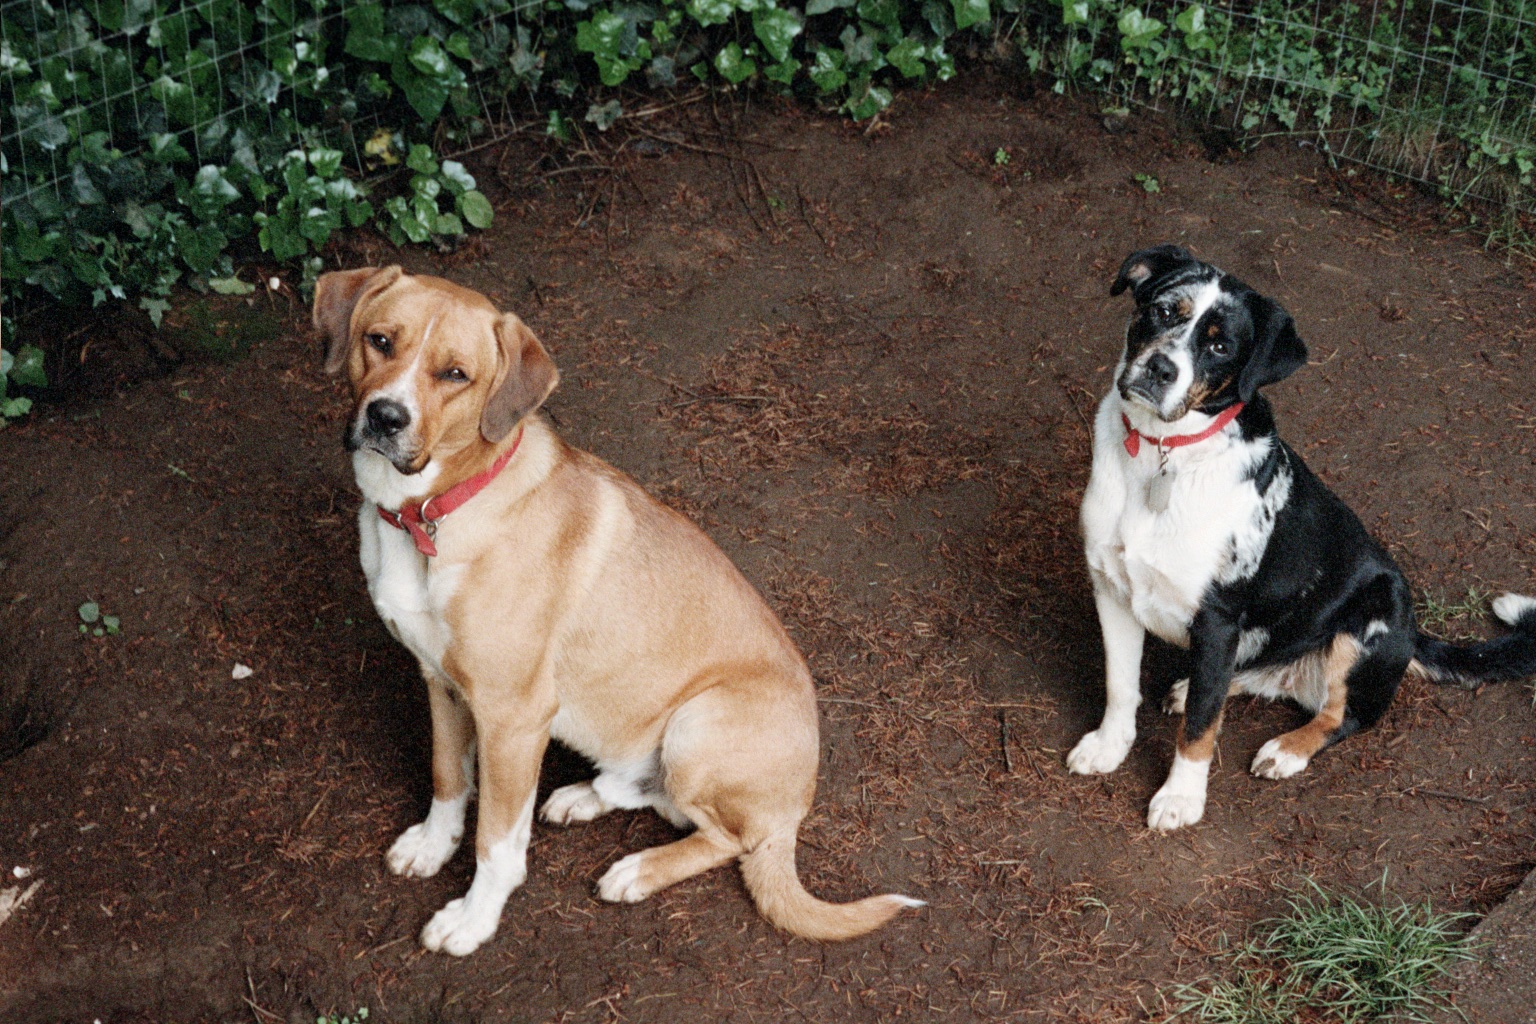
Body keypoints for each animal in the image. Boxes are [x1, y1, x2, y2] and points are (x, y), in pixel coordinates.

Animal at [308, 268, 909, 957]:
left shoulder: (513, 718)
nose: (385, 416)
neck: (429, 512)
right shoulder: (441, 683)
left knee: (728, 838)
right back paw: (585, 796)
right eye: (380, 340)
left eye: (455, 374)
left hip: (698, 724)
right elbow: (447, 778)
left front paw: (473, 919)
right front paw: (433, 846)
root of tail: (797, 807)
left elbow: (498, 842)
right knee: (655, 794)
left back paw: (640, 869)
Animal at [1069, 245, 1536, 835]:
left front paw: (1180, 799)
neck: (1162, 456)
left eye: (1220, 345)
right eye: (1163, 310)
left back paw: (1287, 749)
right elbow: (1121, 685)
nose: (1160, 369)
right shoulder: (1112, 588)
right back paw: (1192, 688)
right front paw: (1108, 747)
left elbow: (1201, 727)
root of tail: (1414, 633)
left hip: (1369, 617)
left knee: (1342, 716)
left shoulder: (1217, 621)